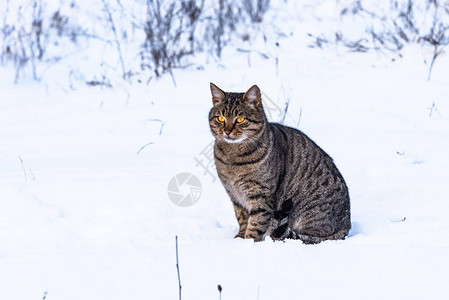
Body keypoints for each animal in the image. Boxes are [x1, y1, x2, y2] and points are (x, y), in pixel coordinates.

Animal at [208, 82, 352, 244]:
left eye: (240, 119)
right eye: (220, 118)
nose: (226, 131)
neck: (232, 157)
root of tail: (346, 225)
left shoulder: (261, 194)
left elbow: (256, 224)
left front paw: (248, 242)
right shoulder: (234, 195)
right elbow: (242, 219)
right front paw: (239, 238)